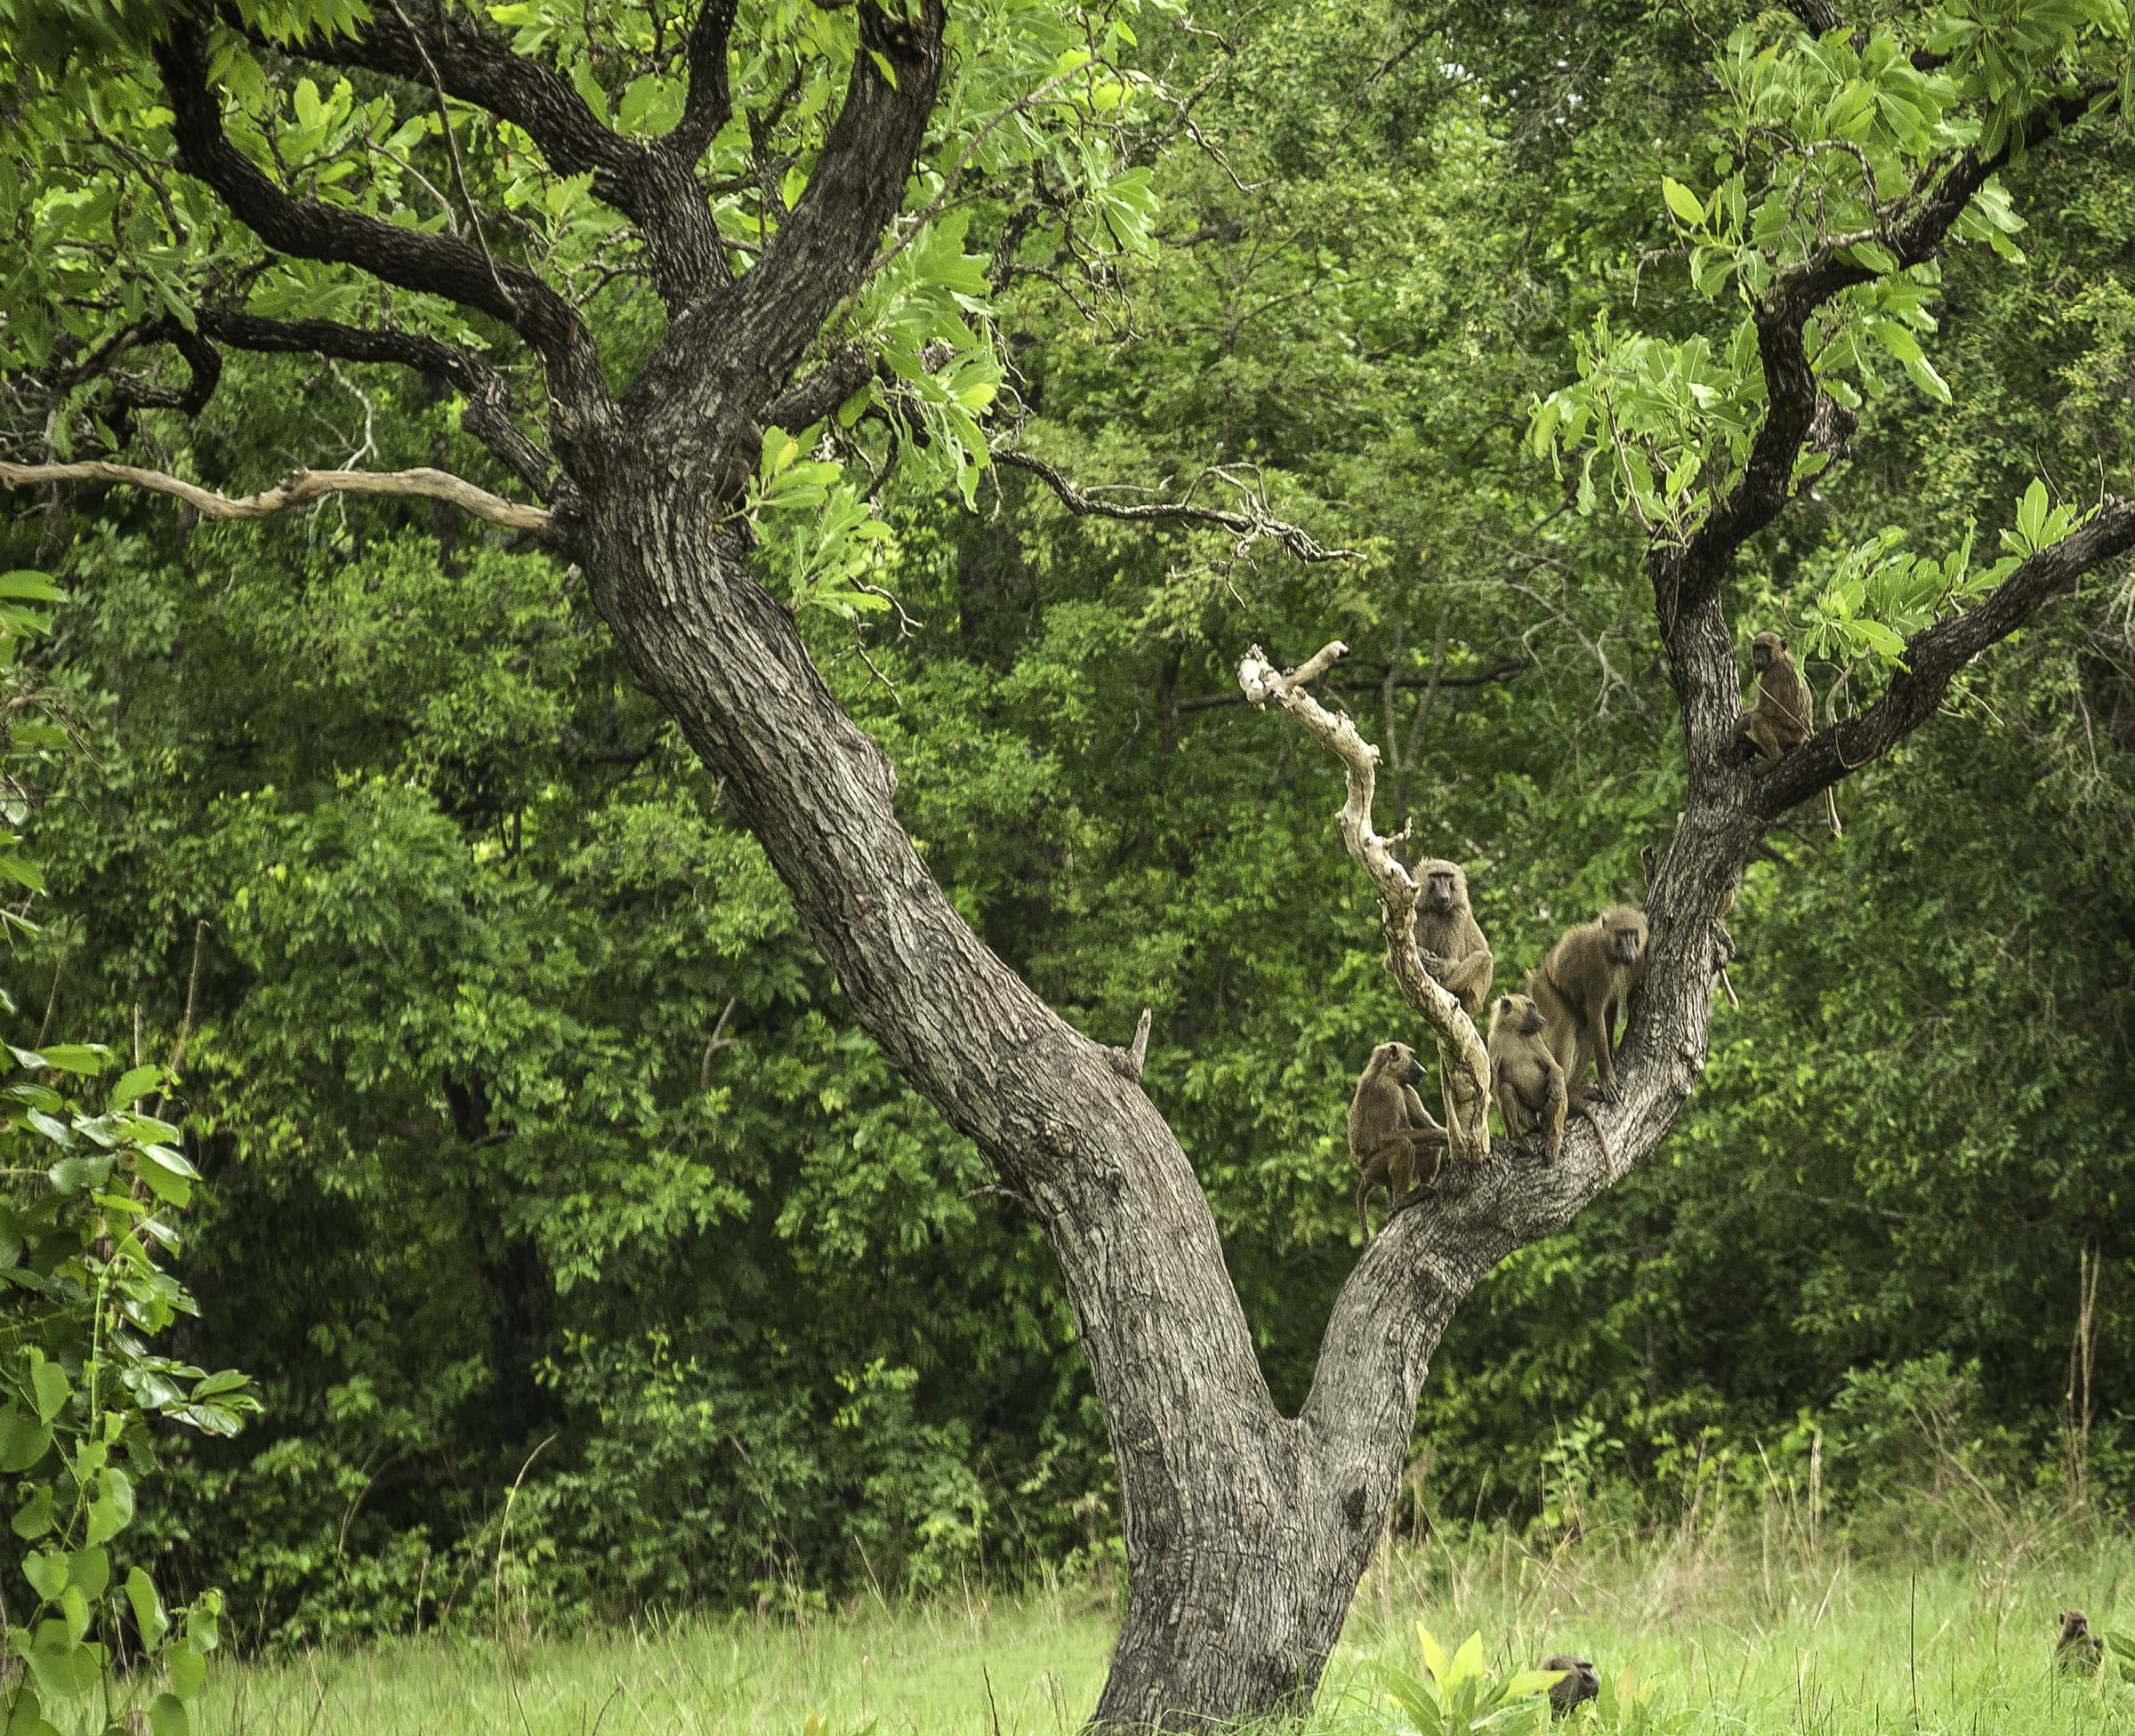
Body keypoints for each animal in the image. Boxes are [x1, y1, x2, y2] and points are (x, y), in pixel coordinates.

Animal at [1347, 1041, 1448, 1242]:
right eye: (1412, 1056)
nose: (1423, 1071)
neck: (1384, 1071)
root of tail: (1364, 1174)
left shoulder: (1407, 1088)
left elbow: (1426, 1125)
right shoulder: (1388, 1090)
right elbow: (1387, 1136)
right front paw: (1446, 1136)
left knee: (1428, 1148)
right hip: (1374, 1168)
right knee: (1403, 1145)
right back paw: (1403, 1199)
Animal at [1415, 859, 1494, 1019]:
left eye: (1447, 876)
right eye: (1435, 876)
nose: (1444, 896)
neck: (1434, 910)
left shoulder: (1457, 914)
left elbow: (1452, 962)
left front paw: (1441, 966)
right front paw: (1420, 953)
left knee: (1484, 957)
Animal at [1487, 993, 1566, 1161]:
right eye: (1531, 1007)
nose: (1543, 1020)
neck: (1513, 1031)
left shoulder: (1535, 1038)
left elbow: (1554, 1068)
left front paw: (1556, 1088)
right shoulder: (1493, 1041)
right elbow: (1495, 1085)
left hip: (1545, 1115)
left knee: (1558, 1089)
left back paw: (1554, 1136)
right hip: (1529, 1119)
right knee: (1507, 1089)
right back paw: (1517, 1138)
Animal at [1526, 905, 1648, 1104]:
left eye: (1632, 933)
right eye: (1621, 935)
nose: (1629, 952)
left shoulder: (1639, 960)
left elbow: (1609, 1008)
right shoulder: (1598, 963)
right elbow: (1596, 1009)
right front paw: (1607, 1079)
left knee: (1586, 1033)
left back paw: (1574, 1088)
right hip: (1544, 988)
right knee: (1566, 1028)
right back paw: (1566, 1090)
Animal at [1738, 628, 1843, 837]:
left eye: (1765, 648)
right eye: (1757, 648)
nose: (1759, 658)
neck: (1780, 657)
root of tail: (1804, 737)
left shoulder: (1771, 676)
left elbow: (1762, 711)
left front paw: (1737, 727)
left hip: (1787, 736)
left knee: (1759, 719)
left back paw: (1774, 759)